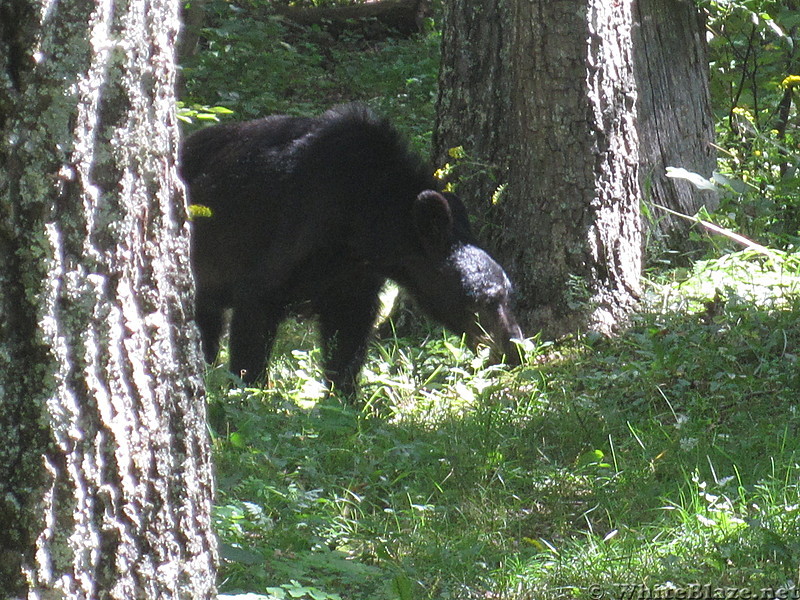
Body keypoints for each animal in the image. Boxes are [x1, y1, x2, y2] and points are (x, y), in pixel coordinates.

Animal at [179, 103, 520, 396]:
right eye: (485, 299)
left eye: (508, 293)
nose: (516, 347)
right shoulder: (283, 241)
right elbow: (254, 320)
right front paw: (249, 394)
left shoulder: (355, 278)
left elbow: (348, 337)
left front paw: (344, 398)